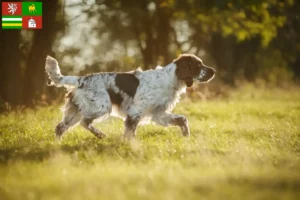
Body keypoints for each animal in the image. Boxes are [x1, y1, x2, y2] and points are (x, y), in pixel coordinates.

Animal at [45, 54, 216, 140]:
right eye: (198, 65)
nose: (213, 71)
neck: (170, 78)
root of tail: (80, 79)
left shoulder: (159, 113)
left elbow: (182, 119)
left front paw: (186, 134)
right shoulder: (135, 111)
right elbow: (130, 132)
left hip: (75, 111)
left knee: (60, 127)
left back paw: (58, 147)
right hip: (101, 107)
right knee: (84, 122)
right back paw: (100, 135)